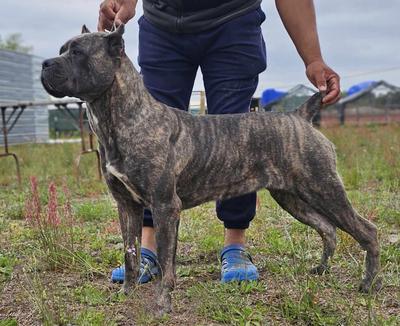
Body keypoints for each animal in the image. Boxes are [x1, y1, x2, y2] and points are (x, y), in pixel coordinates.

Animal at [40, 24, 382, 314]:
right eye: (62, 49)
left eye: (78, 52)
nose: (44, 63)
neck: (127, 119)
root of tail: (300, 114)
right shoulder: (128, 206)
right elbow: (131, 253)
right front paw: (127, 293)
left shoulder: (165, 207)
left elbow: (166, 262)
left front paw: (162, 304)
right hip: (292, 197)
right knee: (328, 229)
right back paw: (321, 270)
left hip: (324, 188)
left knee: (366, 230)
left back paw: (367, 284)